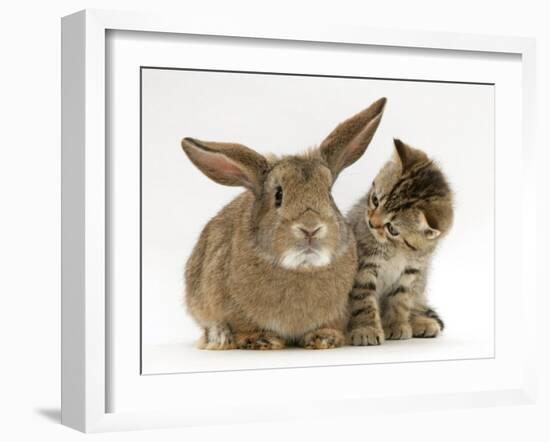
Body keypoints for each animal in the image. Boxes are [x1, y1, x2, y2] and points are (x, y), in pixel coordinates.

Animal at [181, 96, 388, 348]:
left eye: (329, 194)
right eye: (278, 195)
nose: (310, 229)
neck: (301, 267)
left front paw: (324, 338)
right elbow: (243, 327)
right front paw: (263, 340)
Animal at [348, 139, 454, 346]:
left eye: (392, 229)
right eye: (375, 200)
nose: (371, 223)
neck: (397, 249)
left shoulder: (412, 271)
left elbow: (400, 300)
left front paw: (396, 325)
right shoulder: (364, 265)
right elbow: (363, 299)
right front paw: (367, 329)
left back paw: (421, 322)